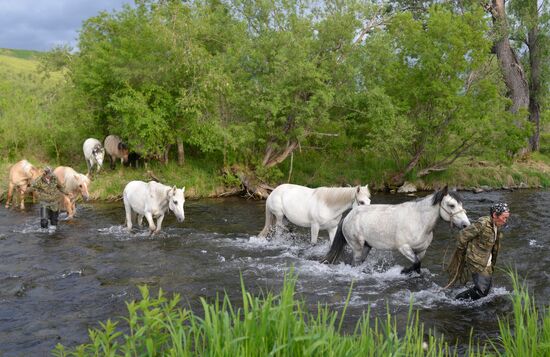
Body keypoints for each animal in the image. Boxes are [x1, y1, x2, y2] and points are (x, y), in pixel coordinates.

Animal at [326, 186, 472, 272]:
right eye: (452, 205)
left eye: (461, 204)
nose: (466, 224)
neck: (419, 220)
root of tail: (347, 217)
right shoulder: (404, 248)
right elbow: (416, 264)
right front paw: (403, 271)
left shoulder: (421, 250)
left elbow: (418, 266)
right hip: (357, 247)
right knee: (354, 264)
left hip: (367, 246)